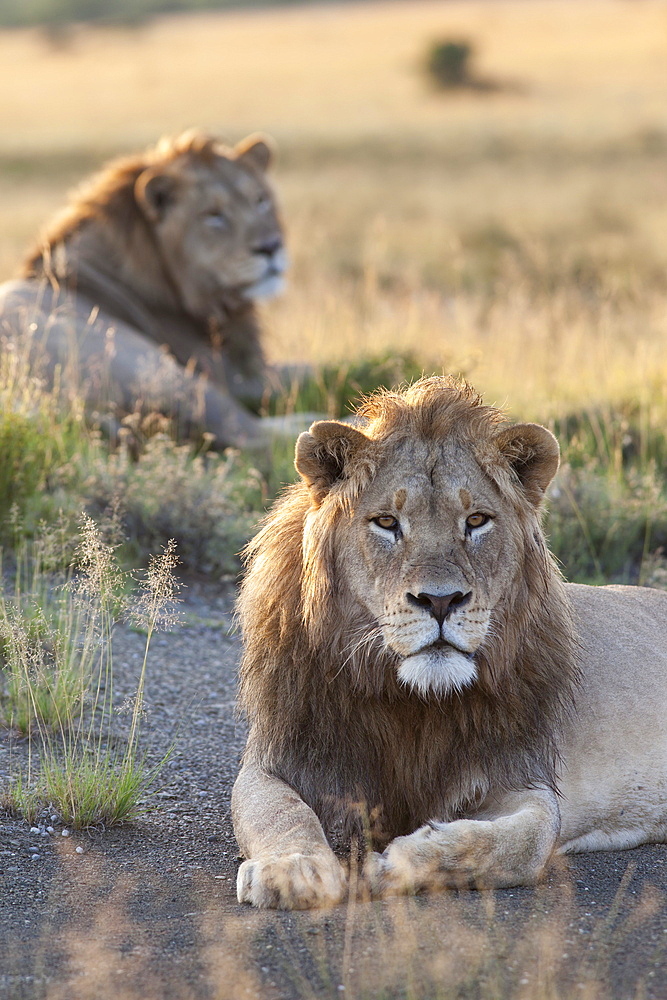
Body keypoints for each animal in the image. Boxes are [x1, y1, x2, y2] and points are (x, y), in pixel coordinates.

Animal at [0, 132, 300, 450]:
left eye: (260, 200)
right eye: (213, 215)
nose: (271, 247)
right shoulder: (236, 376)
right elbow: (310, 369)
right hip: (165, 371)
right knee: (255, 438)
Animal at [232, 374, 667, 908]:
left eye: (476, 520)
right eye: (386, 522)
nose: (440, 601)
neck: (410, 701)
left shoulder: (522, 774)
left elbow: (523, 841)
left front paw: (398, 861)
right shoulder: (279, 756)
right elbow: (279, 813)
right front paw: (293, 870)